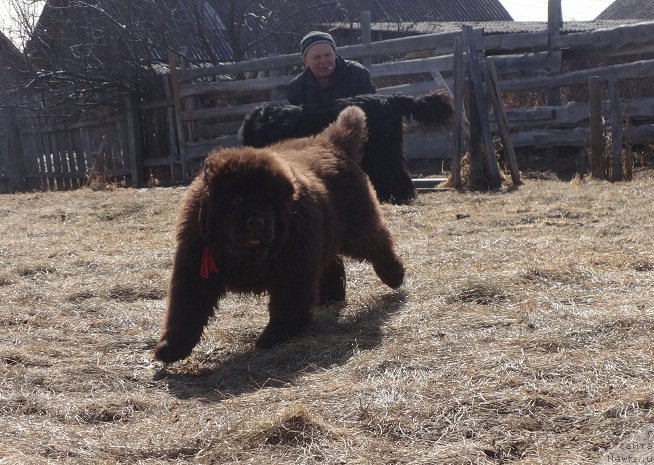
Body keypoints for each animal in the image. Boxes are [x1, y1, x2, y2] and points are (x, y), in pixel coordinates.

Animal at [156, 106, 408, 362]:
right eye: (236, 200)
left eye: (268, 202)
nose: (255, 221)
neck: (245, 255)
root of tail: (330, 142)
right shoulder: (195, 264)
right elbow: (186, 309)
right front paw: (171, 347)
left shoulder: (295, 263)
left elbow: (287, 304)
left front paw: (274, 337)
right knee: (333, 261)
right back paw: (331, 297)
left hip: (356, 228)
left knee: (378, 242)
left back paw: (394, 275)